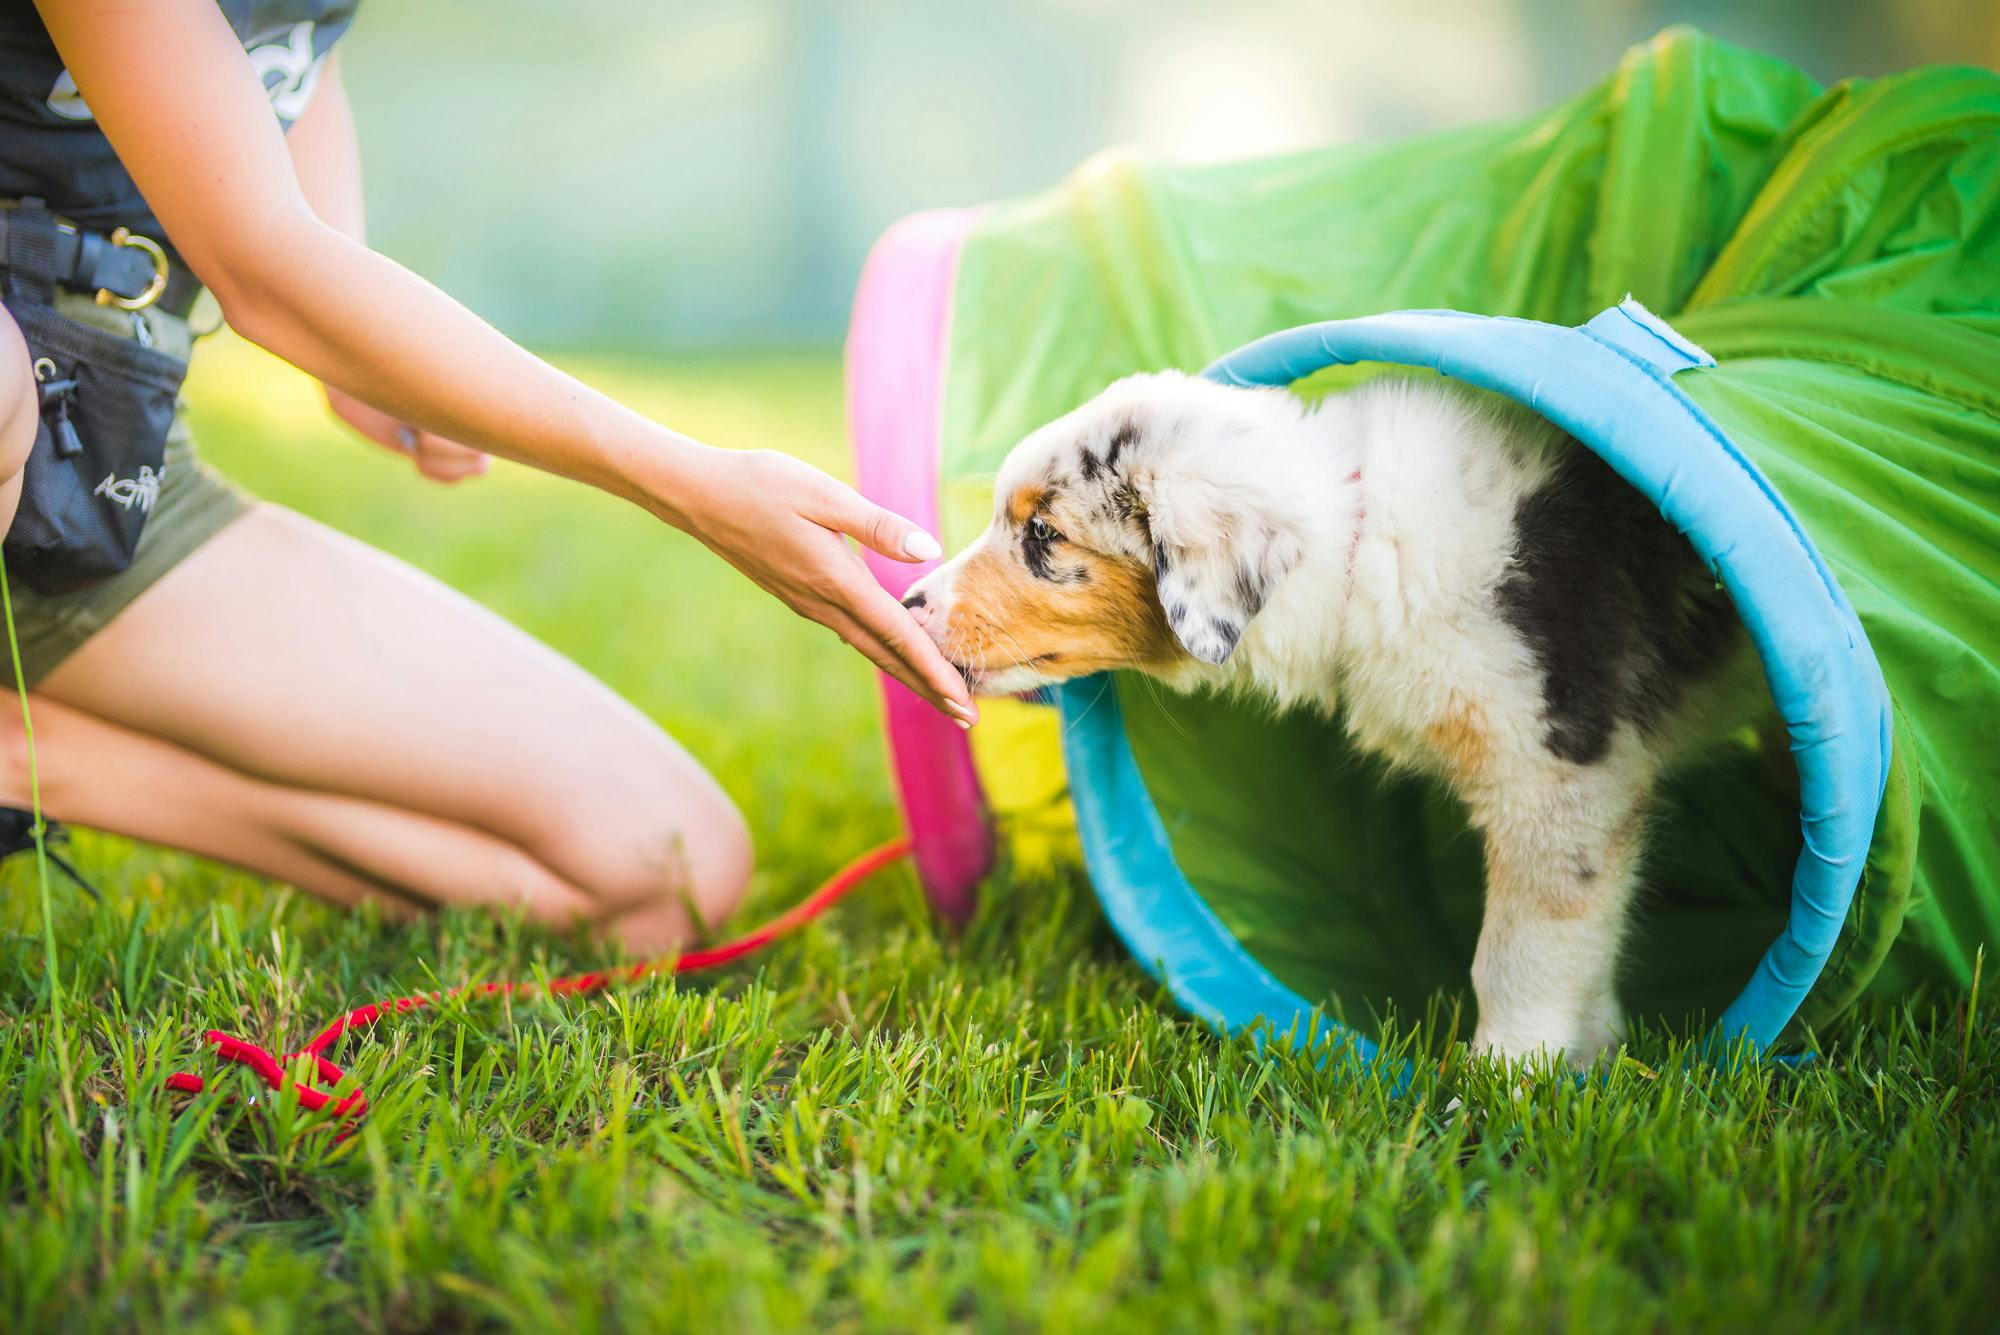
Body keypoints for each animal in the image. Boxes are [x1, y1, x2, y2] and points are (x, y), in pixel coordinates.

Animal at [908, 373, 1768, 1063]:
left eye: (1044, 534)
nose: (913, 602)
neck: (1360, 541)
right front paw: (1591, 1053)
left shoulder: (1560, 779)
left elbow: (1520, 952)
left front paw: (1505, 1083)